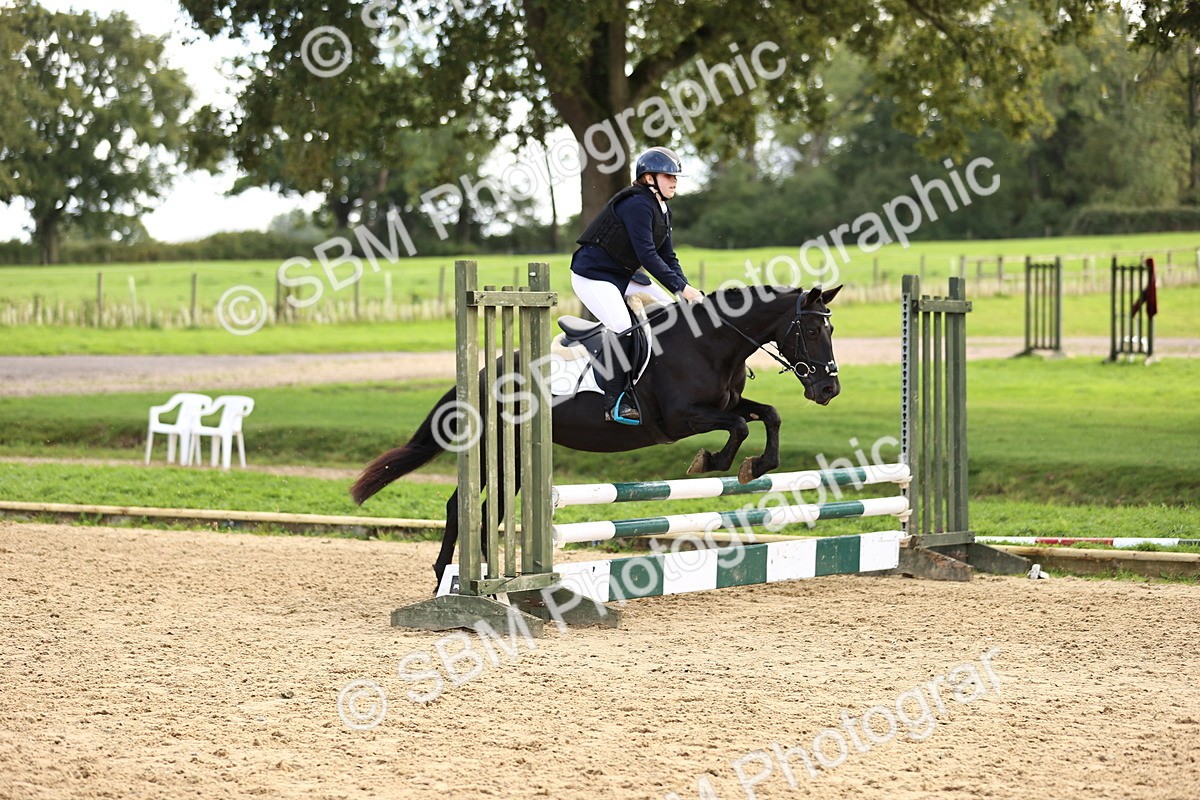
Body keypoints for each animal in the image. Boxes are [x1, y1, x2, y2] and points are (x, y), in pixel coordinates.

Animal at [351, 284, 842, 586]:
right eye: (811, 328)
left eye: (831, 327)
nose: (828, 389)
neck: (711, 343)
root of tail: (482, 373)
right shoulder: (683, 418)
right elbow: (738, 427)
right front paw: (713, 462)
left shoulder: (725, 404)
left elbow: (769, 415)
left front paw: (757, 465)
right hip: (496, 449)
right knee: (463, 506)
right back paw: (449, 578)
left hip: (515, 459)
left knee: (486, 510)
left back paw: (481, 578)